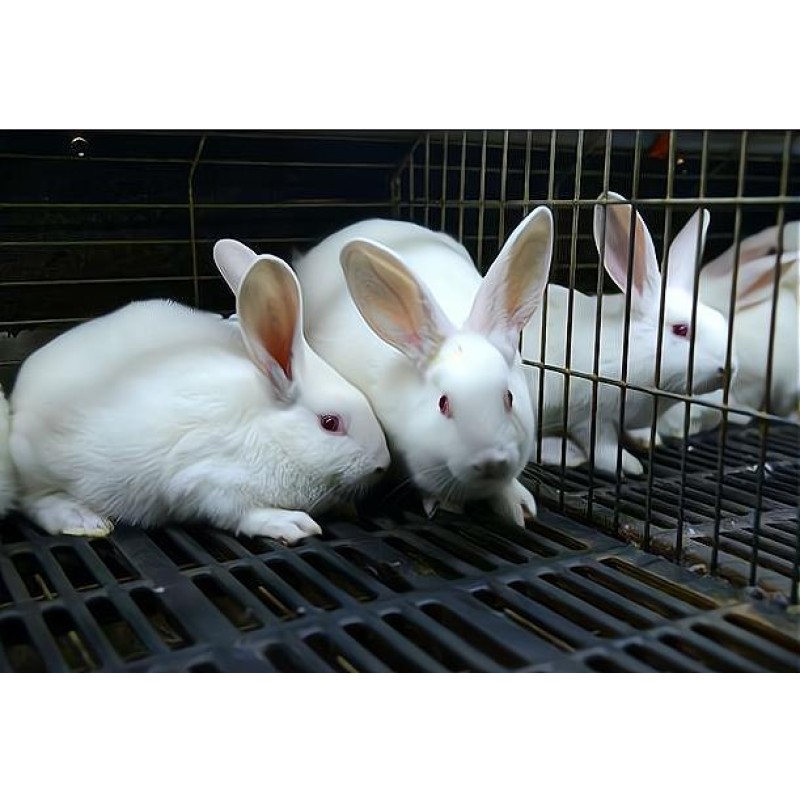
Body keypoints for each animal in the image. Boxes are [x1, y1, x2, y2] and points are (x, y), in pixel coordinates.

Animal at [8, 241, 390, 542]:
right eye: (330, 423)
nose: (383, 464)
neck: (268, 432)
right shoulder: (206, 482)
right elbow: (240, 513)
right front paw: (290, 523)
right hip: (35, 464)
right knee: (33, 500)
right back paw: (83, 520)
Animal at [523, 192, 731, 477]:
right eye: (681, 330)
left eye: (721, 318)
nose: (729, 368)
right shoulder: (589, 415)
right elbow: (602, 448)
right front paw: (628, 466)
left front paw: (648, 441)